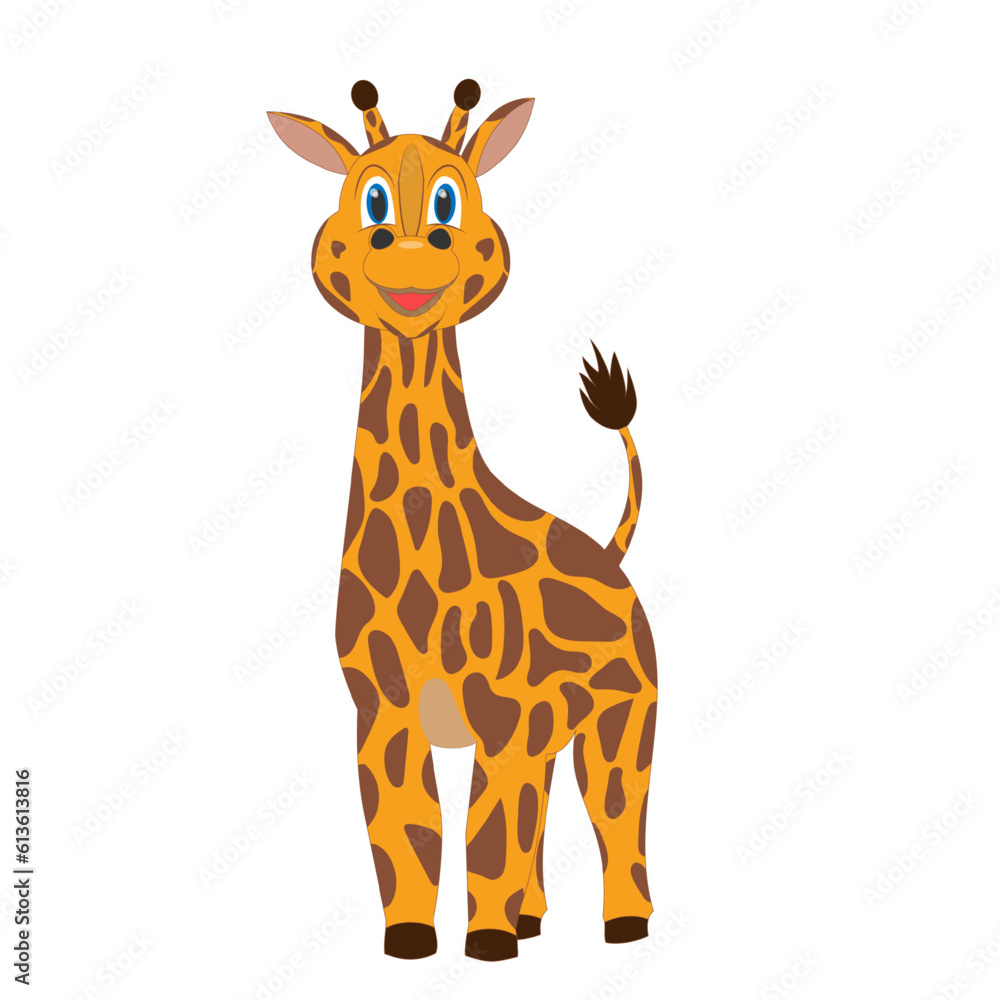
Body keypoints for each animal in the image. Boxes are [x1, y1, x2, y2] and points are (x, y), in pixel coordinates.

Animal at [269, 80, 657, 962]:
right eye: (371, 200)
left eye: (451, 198)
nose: (414, 260)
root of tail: (614, 559)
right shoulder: (384, 706)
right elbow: (409, 828)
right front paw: (415, 940)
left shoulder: (503, 714)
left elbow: (485, 830)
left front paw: (485, 944)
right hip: (553, 728)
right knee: (542, 812)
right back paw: (534, 921)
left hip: (622, 713)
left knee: (616, 807)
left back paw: (623, 927)